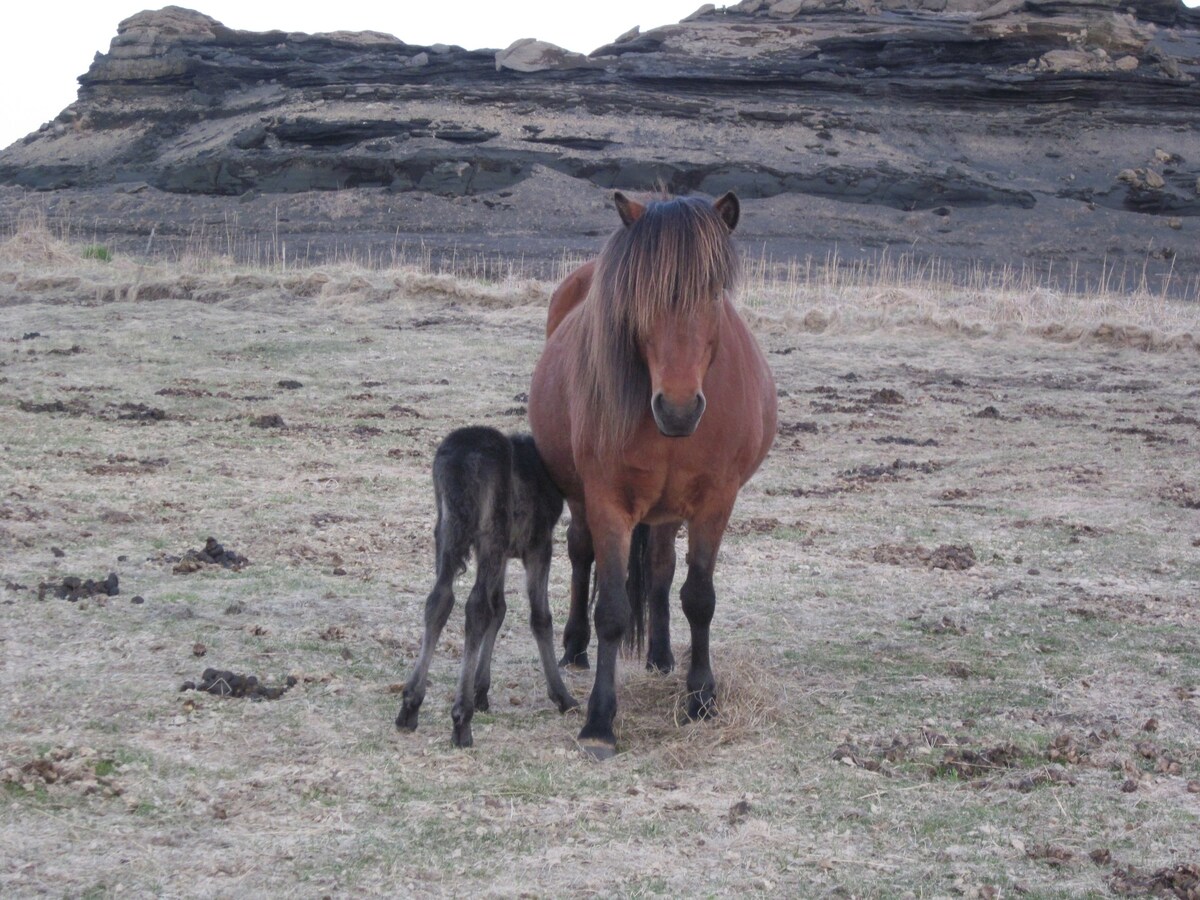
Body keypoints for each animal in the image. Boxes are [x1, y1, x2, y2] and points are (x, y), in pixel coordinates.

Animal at [396, 427, 578, 748]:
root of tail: (459, 462)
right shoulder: (537, 543)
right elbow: (539, 617)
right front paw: (562, 696)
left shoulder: (502, 551)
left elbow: (500, 608)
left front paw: (481, 690)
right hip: (492, 529)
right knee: (475, 606)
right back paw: (461, 718)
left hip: (447, 528)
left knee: (439, 599)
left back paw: (410, 705)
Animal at [528, 192, 772, 763]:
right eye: (637, 296)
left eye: (713, 293)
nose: (679, 409)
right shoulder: (608, 502)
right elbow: (613, 609)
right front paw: (599, 722)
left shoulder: (714, 503)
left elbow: (698, 597)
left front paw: (701, 699)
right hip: (582, 499)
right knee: (580, 554)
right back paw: (574, 647)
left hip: (666, 512)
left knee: (661, 569)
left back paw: (661, 655)